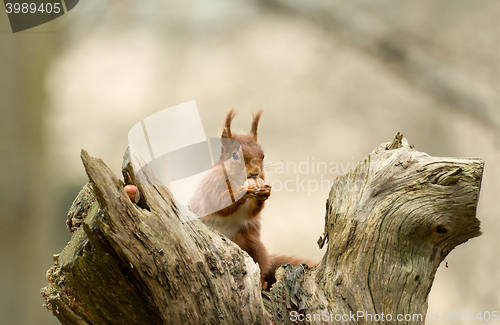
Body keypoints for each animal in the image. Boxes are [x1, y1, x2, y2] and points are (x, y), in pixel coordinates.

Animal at [188, 109, 312, 288]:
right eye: (235, 156)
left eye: (263, 155)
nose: (255, 171)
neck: (238, 181)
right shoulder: (211, 187)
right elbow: (220, 204)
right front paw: (242, 194)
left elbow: (251, 212)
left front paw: (264, 194)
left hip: (249, 242)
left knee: (262, 263)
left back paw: (262, 283)